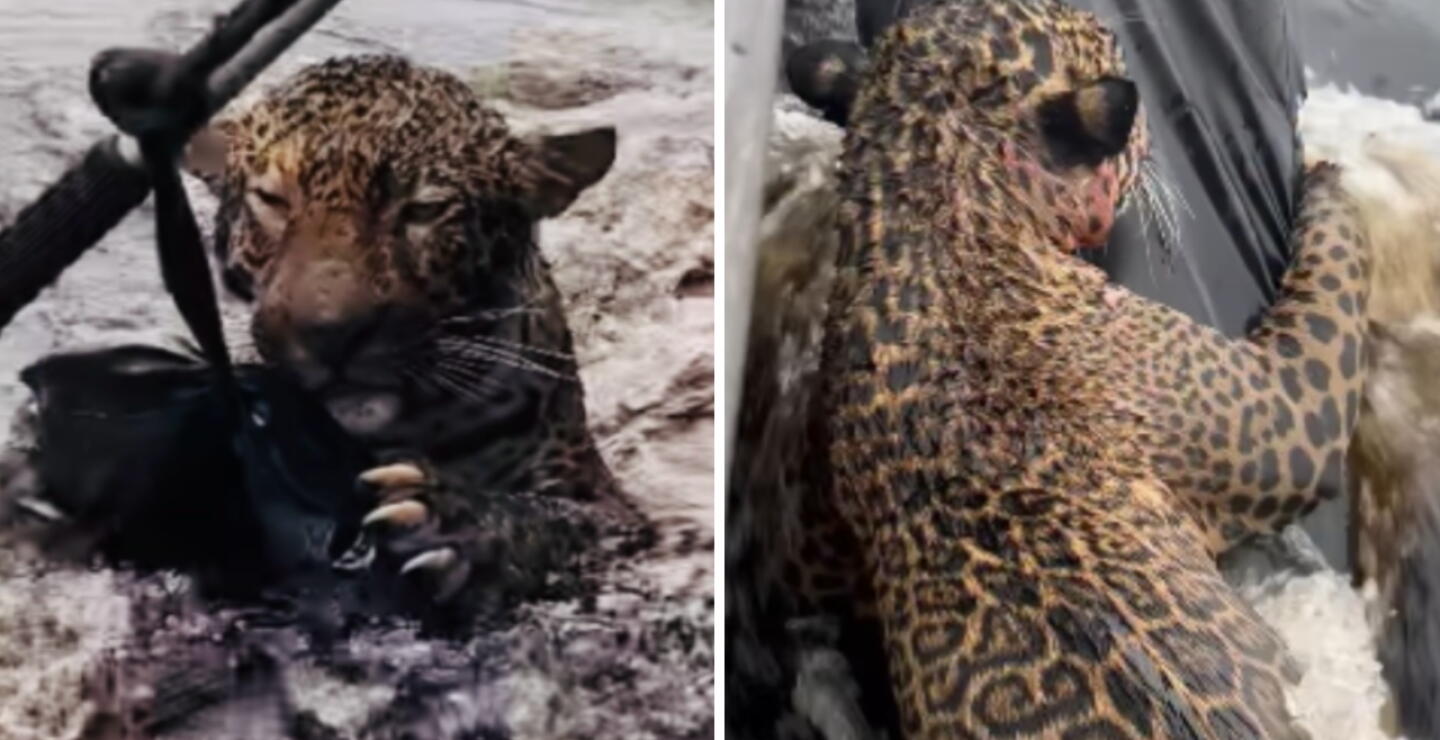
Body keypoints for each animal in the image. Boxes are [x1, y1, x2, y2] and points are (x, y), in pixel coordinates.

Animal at [183, 54, 641, 609]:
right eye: (273, 200)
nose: (330, 332)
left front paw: (447, 522)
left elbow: (561, 522)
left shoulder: (614, 512)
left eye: (424, 209)